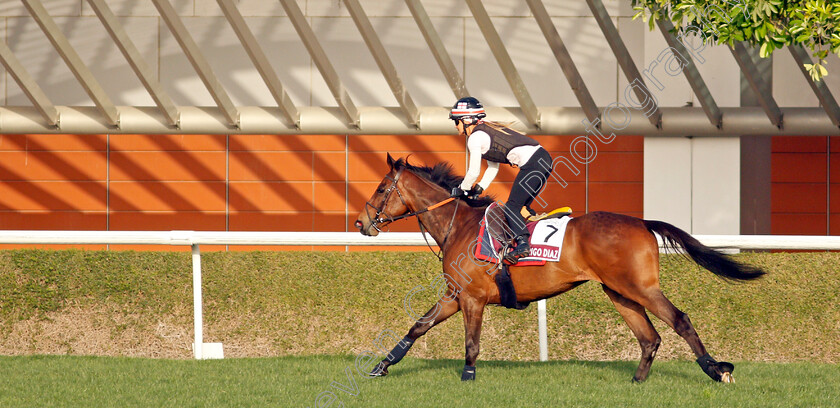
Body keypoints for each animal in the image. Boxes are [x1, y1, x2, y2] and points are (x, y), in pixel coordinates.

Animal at [354, 155, 768, 384]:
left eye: (381, 188)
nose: (361, 223)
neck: (461, 225)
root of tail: (641, 222)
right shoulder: (455, 295)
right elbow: (417, 326)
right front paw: (381, 367)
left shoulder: (472, 298)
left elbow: (471, 343)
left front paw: (468, 377)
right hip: (619, 292)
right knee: (649, 337)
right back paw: (637, 381)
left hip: (641, 287)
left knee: (679, 320)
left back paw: (716, 370)